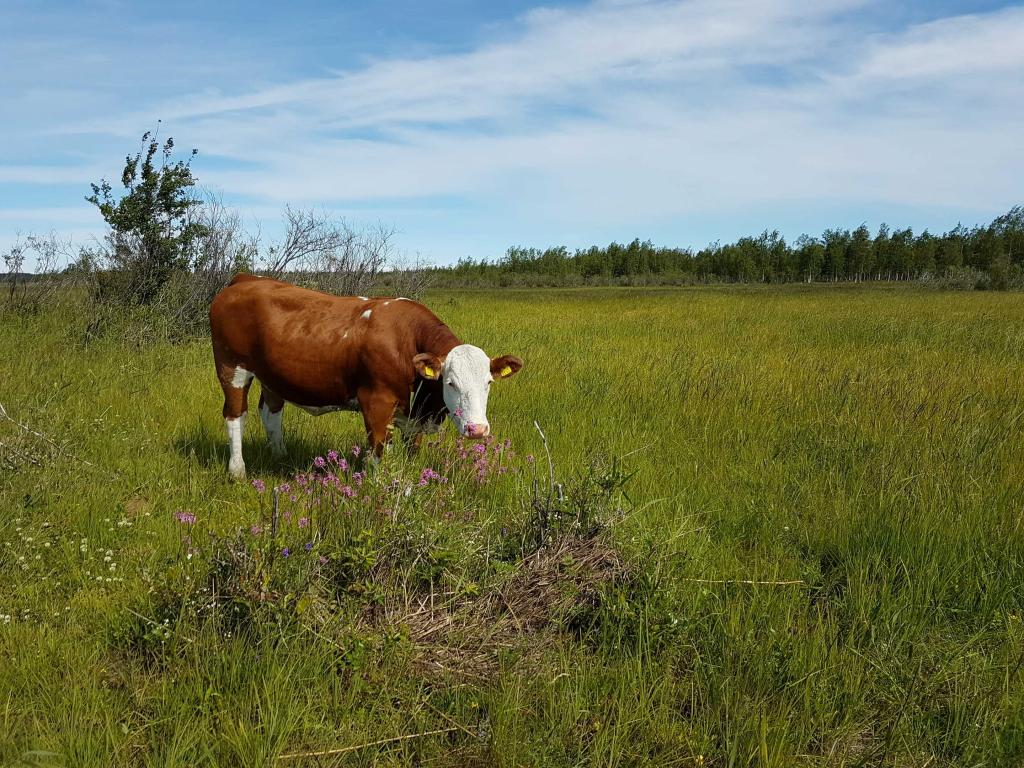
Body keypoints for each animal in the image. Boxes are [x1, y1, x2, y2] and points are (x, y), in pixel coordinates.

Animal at [210, 276, 524, 479]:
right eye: (450, 383)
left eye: (488, 383)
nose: (477, 430)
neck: (407, 339)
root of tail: (244, 279)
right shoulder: (377, 401)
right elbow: (377, 449)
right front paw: (375, 487)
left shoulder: (412, 414)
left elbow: (412, 447)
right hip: (231, 368)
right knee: (235, 415)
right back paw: (237, 471)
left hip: (272, 376)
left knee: (271, 412)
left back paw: (279, 455)